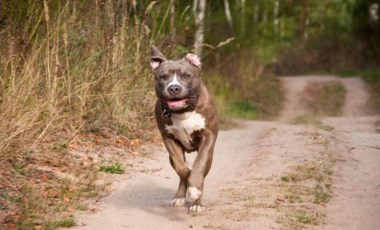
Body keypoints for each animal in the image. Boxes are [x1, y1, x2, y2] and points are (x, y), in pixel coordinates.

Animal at [150, 45, 218, 213]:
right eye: (162, 77)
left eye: (187, 75)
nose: (174, 88)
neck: (183, 112)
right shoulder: (169, 139)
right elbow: (182, 168)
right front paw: (189, 180)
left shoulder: (208, 137)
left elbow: (199, 166)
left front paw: (195, 191)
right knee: (181, 173)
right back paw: (180, 196)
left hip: (210, 155)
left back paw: (197, 202)